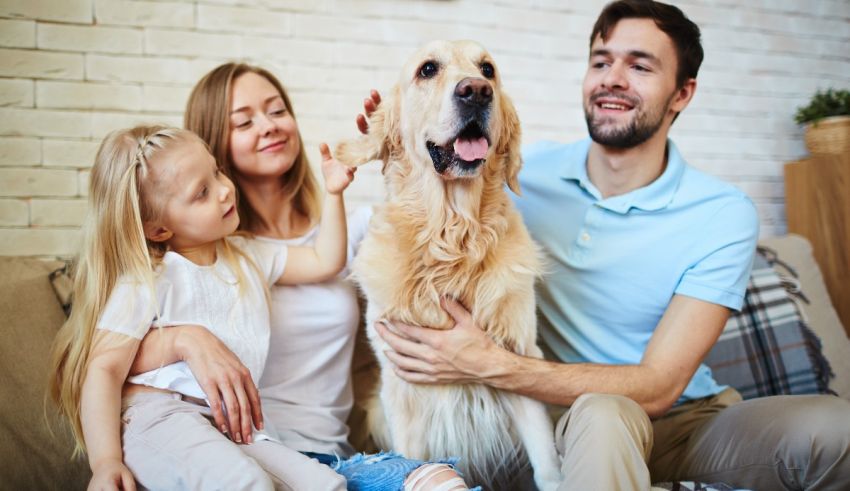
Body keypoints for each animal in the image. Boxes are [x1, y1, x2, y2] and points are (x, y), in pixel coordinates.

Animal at [334, 40, 560, 490]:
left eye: (488, 70)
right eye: (427, 69)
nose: (476, 92)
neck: (452, 238)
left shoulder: (520, 358)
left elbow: (546, 462)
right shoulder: (400, 387)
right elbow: (410, 458)